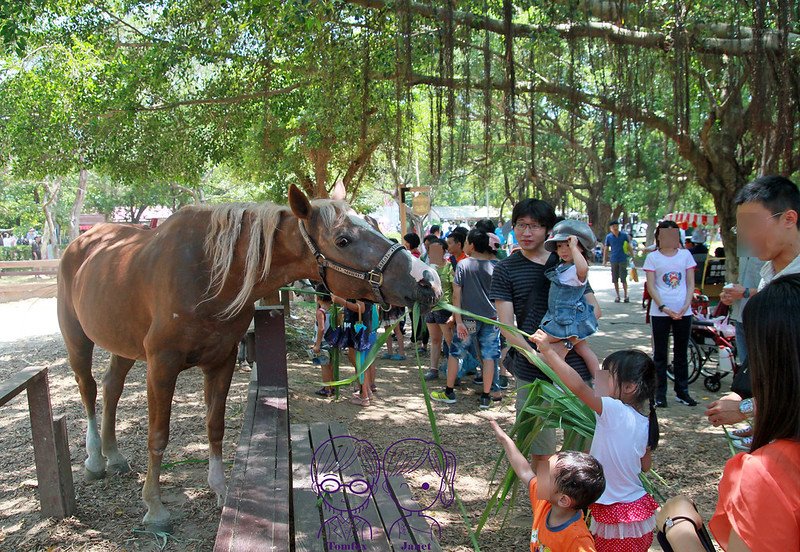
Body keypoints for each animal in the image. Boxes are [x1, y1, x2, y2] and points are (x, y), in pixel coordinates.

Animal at [56, 185, 444, 532]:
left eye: (374, 224)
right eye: (343, 240)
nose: (429, 280)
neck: (210, 273)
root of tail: (80, 244)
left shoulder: (222, 360)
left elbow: (214, 425)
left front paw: (220, 489)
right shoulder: (162, 364)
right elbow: (158, 435)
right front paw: (154, 506)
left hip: (124, 344)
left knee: (112, 388)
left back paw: (114, 456)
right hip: (77, 338)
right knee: (89, 389)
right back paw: (95, 459)